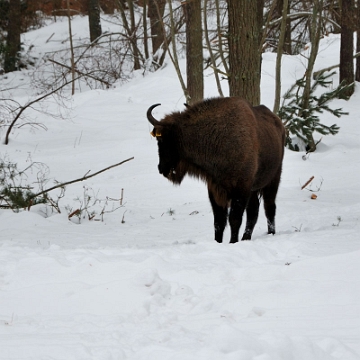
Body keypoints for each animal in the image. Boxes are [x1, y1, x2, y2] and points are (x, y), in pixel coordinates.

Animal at [146, 96, 284, 242]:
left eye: (161, 140)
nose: (161, 168)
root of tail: (280, 125)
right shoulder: (215, 189)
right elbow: (219, 221)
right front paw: (218, 241)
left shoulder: (241, 189)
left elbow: (234, 219)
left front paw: (232, 242)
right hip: (254, 189)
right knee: (254, 210)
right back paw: (246, 237)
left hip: (273, 179)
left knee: (269, 207)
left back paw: (270, 233)